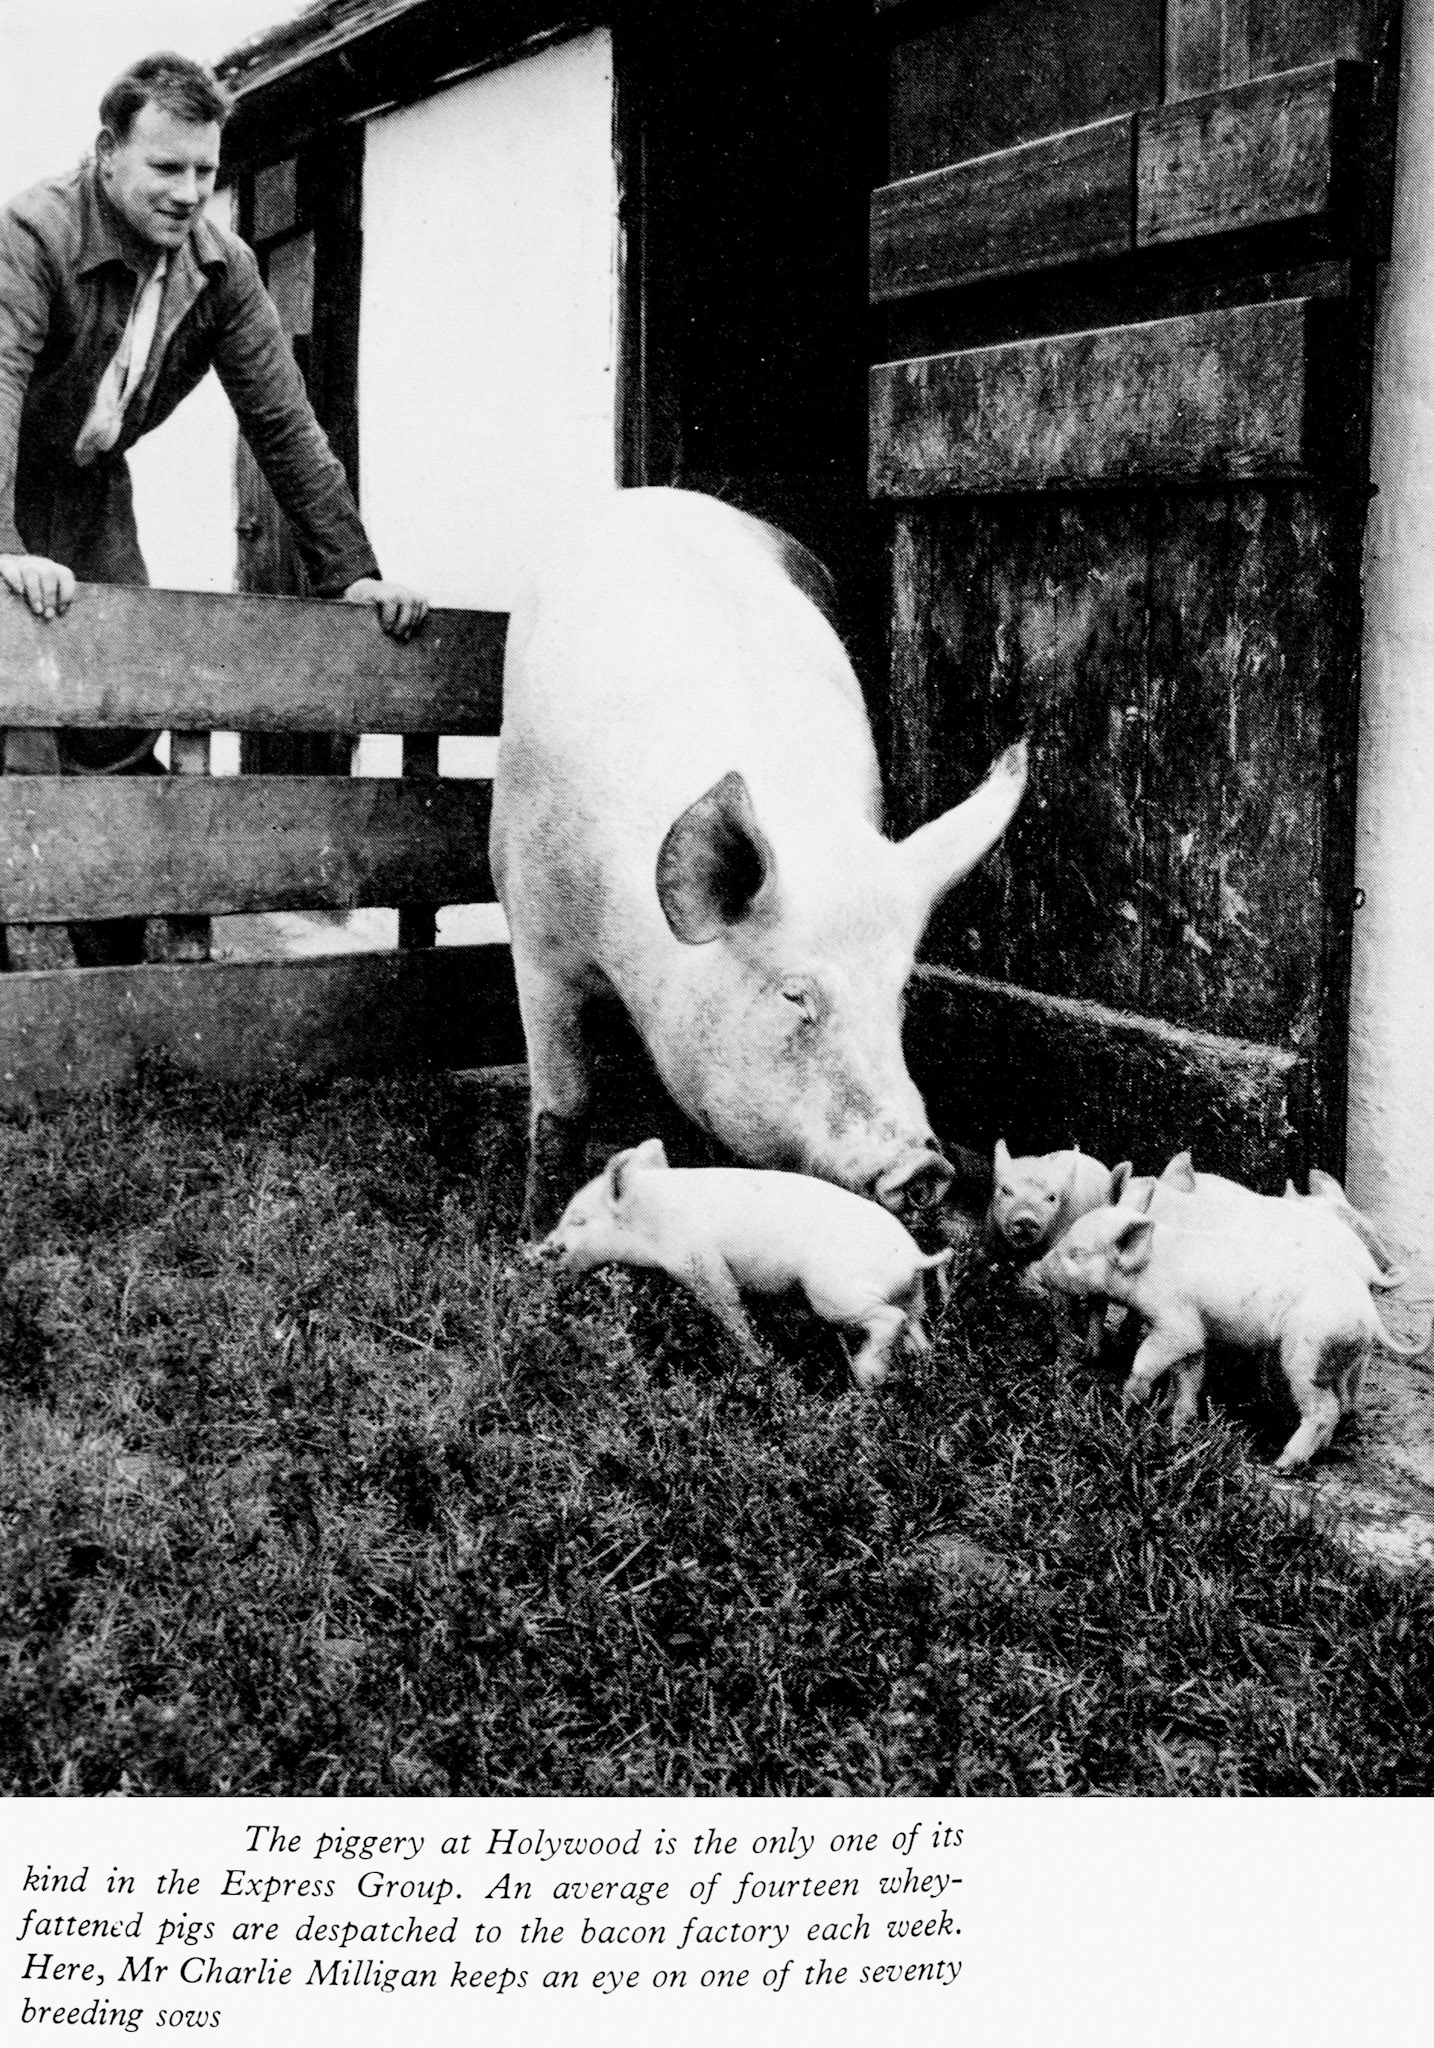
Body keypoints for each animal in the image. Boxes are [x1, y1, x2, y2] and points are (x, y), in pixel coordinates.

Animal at [491, 487, 1027, 1233]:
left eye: (898, 998)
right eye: (794, 994)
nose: (926, 1167)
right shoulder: (535, 931)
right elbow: (562, 1102)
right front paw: (534, 1234)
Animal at [532, 1138, 955, 1390]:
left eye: (578, 1220)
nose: (538, 1252)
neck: (653, 1222)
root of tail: (915, 1257)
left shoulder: (699, 1262)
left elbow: (730, 1309)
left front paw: (759, 1364)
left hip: (833, 1292)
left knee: (889, 1320)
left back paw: (866, 1377)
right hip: (911, 1297)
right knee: (916, 1331)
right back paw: (917, 1370)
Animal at [1036, 1203, 1431, 1471]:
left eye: (1077, 1253)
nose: (1036, 1268)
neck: (1147, 1271)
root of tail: (1369, 1312)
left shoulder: (1174, 1323)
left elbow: (1146, 1361)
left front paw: (1128, 1404)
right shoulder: (1196, 1335)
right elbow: (1188, 1379)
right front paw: (1174, 1425)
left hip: (1306, 1352)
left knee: (1324, 1409)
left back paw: (1282, 1465)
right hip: (1334, 1358)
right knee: (1338, 1403)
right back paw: (1314, 1453)